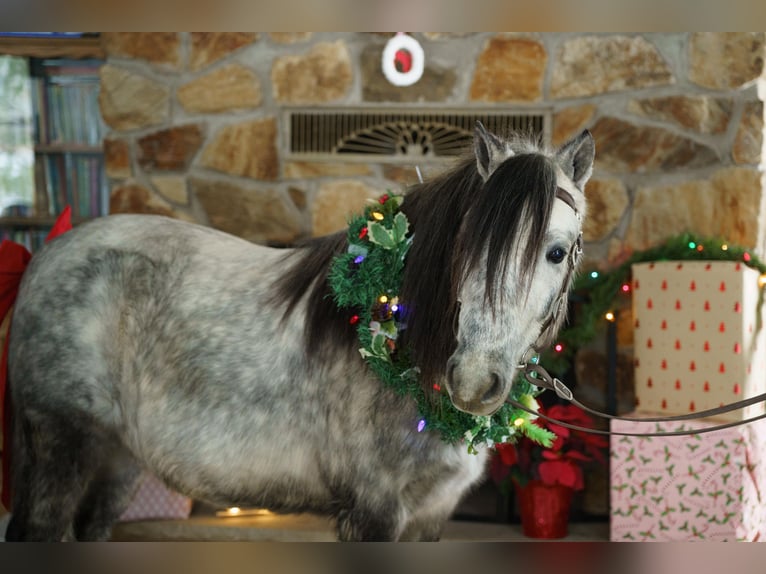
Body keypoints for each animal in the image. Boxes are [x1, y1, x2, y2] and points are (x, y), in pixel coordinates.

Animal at [3, 123, 594, 541]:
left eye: (557, 251)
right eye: (466, 247)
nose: (472, 381)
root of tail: (48, 255)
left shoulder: (431, 514)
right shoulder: (374, 511)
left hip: (118, 458)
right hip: (63, 444)